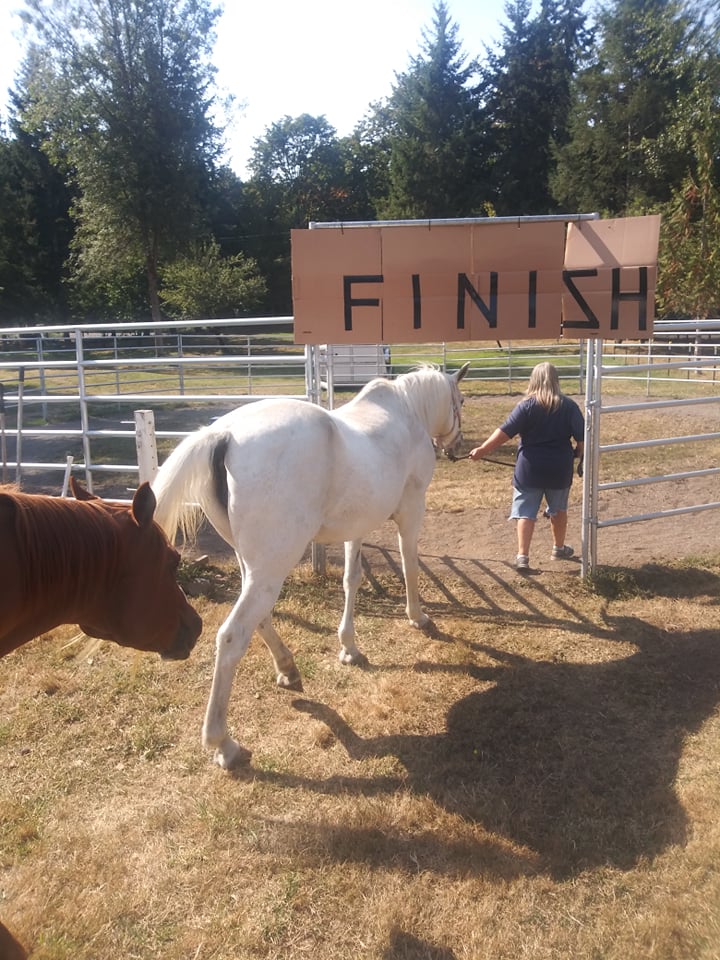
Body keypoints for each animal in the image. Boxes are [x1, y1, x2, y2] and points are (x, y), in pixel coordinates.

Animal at [153, 360, 466, 764]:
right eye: (459, 401)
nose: (456, 446)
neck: (406, 412)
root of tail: (222, 435)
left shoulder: (356, 526)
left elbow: (352, 578)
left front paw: (349, 647)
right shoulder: (411, 511)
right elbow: (410, 564)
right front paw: (418, 616)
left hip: (253, 565)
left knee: (260, 617)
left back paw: (287, 667)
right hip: (270, 568)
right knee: (232, 636)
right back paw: (223, 743)